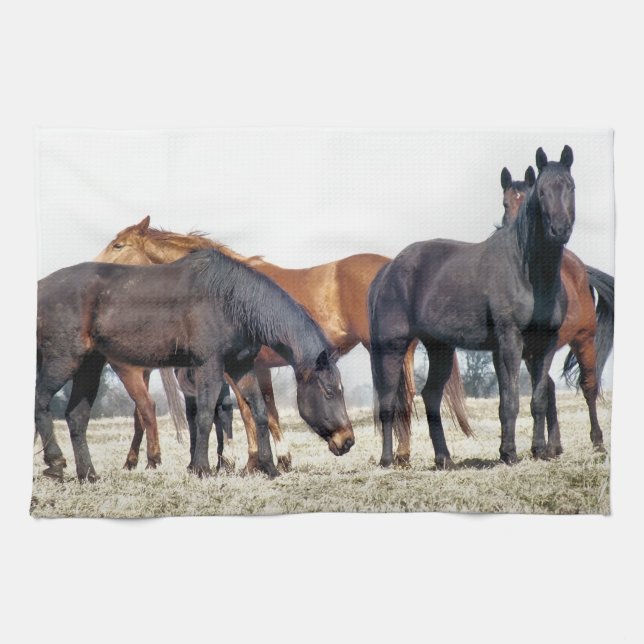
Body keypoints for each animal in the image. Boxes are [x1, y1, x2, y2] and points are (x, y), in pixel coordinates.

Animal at [35, 249, 355, 481]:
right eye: (329, 392)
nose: (348, 441)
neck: (230, 299)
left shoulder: (241, 366)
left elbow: (259, 412)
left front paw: (268, 467)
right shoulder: (209, 365)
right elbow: (204, 414)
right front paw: (202, 468)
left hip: (90, 366)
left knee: (76, 418)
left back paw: (88, 474)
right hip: (64, 360)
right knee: (41, 401)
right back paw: (55, 462)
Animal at [95, 219, 471, 471]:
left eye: (119, 245)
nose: (95, 268)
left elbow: (247, 411)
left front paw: (251, 463)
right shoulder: (257, 368)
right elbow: (265, 411)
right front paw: (276, 459)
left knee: (401, 397)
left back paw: (399, 456)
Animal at [370, 146, 576, 468]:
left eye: (570, 187)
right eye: (542, 192)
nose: (560, 229)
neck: (528, 271)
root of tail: (389, 269)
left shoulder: (545, 343)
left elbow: (538, 398)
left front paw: (538, 451)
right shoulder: (509, 341)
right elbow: (510, 400)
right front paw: (510, 454)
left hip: (440, 347)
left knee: (431, 395)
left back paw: (444, 458)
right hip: (392, 346)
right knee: (389, 401)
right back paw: (388, 459)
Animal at [501, 166, 614, 452]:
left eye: (529, 200)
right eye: (505, 203)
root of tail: (580, 269)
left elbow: (541, 392)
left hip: (583, 340)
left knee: (588, 385)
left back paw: (597, 441)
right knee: (549, 387)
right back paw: (554, 445)